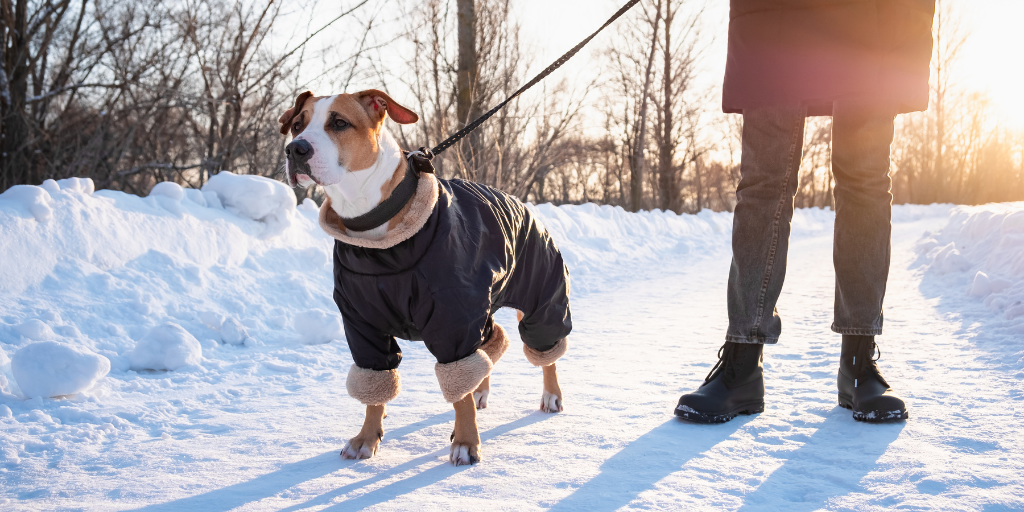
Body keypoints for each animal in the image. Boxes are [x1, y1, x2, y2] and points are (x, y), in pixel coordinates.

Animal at [276, 90, 573, 466]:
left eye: (339, 123)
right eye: (297, 125)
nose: (295, 150)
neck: (377, 240)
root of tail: (518, 201)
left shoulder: (453, 319)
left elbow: (458, 391)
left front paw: (466, 442)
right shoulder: (362, 325)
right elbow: (375, 384)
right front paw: (366, 438)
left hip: (541, 294)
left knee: (544, 346)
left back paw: (551, 395)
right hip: (484, 306)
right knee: (494, 341)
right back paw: (482, 389)